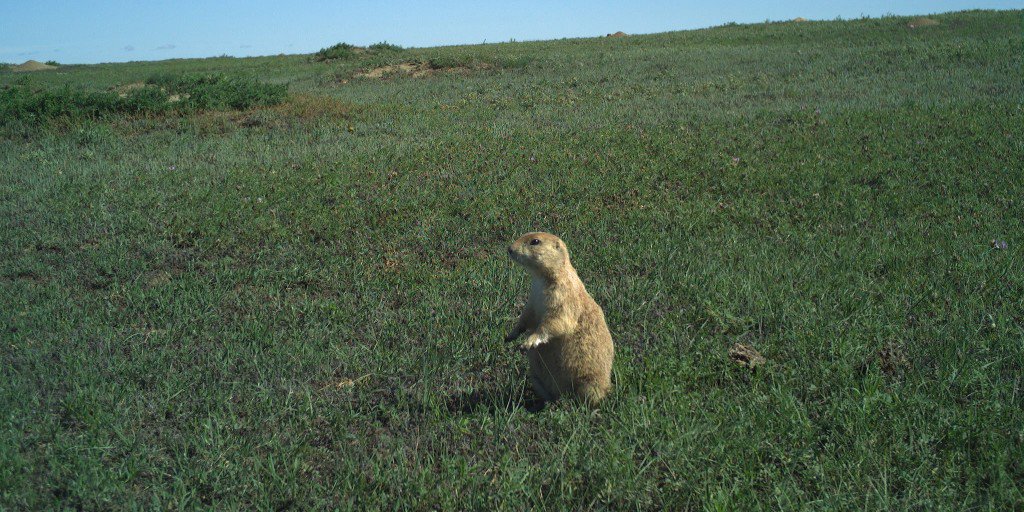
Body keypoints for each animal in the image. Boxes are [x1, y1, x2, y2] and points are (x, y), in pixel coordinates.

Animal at [505, 232, 614, 406]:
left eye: (535, 241)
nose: (509, 249)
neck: (540, 279)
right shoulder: (533, 298)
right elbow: (527, 316)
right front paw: (511, 335)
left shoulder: (563, 293)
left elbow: (557, 319)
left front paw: (529, 341)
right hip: (536, 378)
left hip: (591, 382)